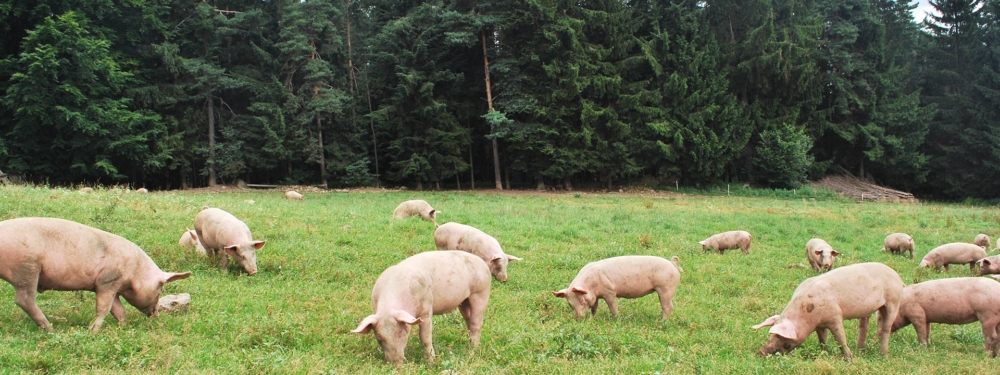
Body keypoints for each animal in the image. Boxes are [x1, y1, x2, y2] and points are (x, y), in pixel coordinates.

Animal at [0, 217, 191, 332]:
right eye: (160, 290)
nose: (156, 315)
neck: (135, 271)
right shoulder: (108, 280)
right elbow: (104, 307)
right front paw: (93, 331)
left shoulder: (114, 287)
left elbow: (117, 309)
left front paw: (124, 326)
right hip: (27, 268)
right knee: (24, 299)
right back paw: (51, 329)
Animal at [352, 251, 492, 366]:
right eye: (379, 337)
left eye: (401, 332)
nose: (396, 364)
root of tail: (482, 263)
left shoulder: (426, 307)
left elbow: (425, 336)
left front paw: (431, 362)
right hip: (463, 301)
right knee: (468, 320)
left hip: (481, 293)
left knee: (476, 323)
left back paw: (473, 349)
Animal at [552, 256, 684, 320]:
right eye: (570, 304)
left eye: (581, 300)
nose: (579, 317)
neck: (591, 285)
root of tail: (673, 264)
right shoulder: (596, 296)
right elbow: (595, 307)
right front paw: (593, 317)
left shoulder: (609, 291)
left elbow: (613, 306)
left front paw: (617, 318)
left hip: (666, 288)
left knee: (668, 306)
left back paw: (662, 321)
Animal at [752, 262, 908, 360]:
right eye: (771, 335)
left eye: (786, 342)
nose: (761, 352)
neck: (807, 312)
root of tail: (897, 275)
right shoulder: (819, 324)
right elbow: (822, 339)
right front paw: (825, 352)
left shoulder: (835, 316)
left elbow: (840, 338)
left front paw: (849, 358)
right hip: (868, 310)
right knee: (863, 326)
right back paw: (860, 350)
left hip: (893, 301)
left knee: (887, 327)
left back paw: (882, 354)